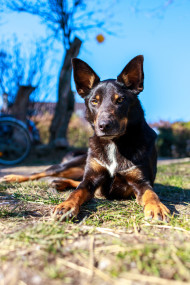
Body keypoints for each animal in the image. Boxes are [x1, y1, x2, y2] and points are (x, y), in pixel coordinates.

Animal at [2, 55, 169, 220]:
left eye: (120, 100)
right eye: (94, 101)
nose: (104, 125)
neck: (114, 143)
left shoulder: (141, 182)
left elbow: (151, 194)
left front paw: (157, 208)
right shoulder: (91, 178)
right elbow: (77, 192)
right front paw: (66, 205)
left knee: (74, 180)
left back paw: (59, 183)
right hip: (68, 166)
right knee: (41, 173)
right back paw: (12, 178)